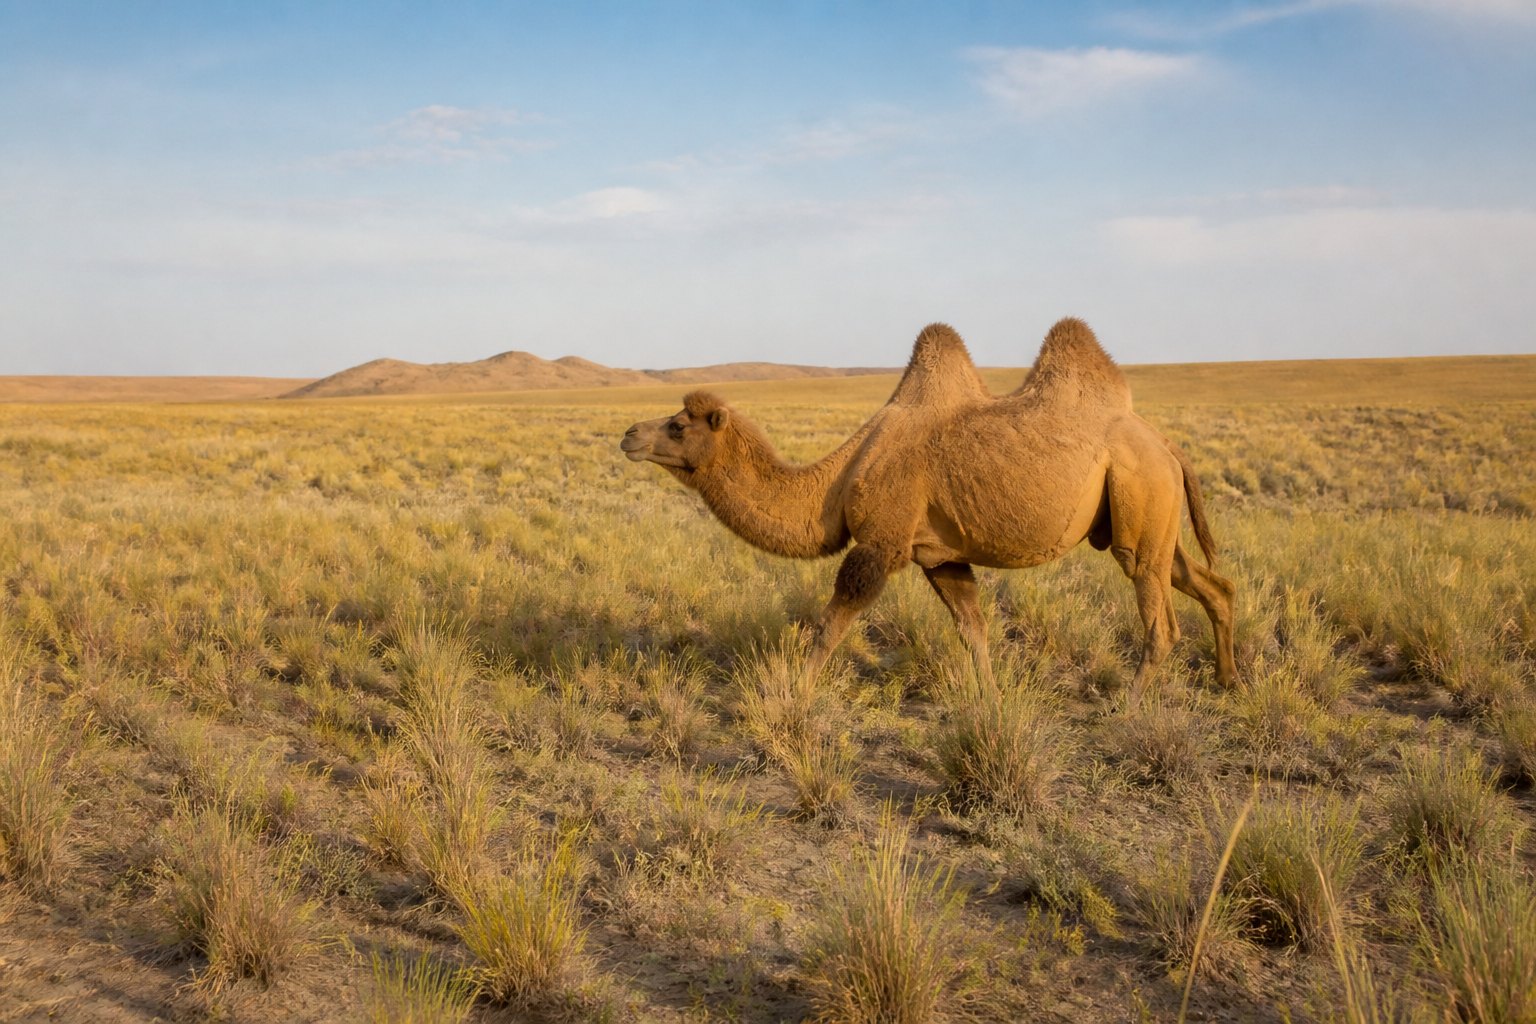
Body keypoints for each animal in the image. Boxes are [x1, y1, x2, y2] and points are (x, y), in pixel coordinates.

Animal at [619, 319, 1237, 695]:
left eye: (677, 426)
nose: (628, 434)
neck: (840, 478)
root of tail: (1167, 444)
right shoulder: (939, 555)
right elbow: (974, 630)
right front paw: (992, 700)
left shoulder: (881, 543)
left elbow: (831, 623)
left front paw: (795, 691)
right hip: (1154, 516)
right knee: (1209, 584)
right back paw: (1230, 679)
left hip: (1140, 500)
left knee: (1161, 623)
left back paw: (1126, 709)